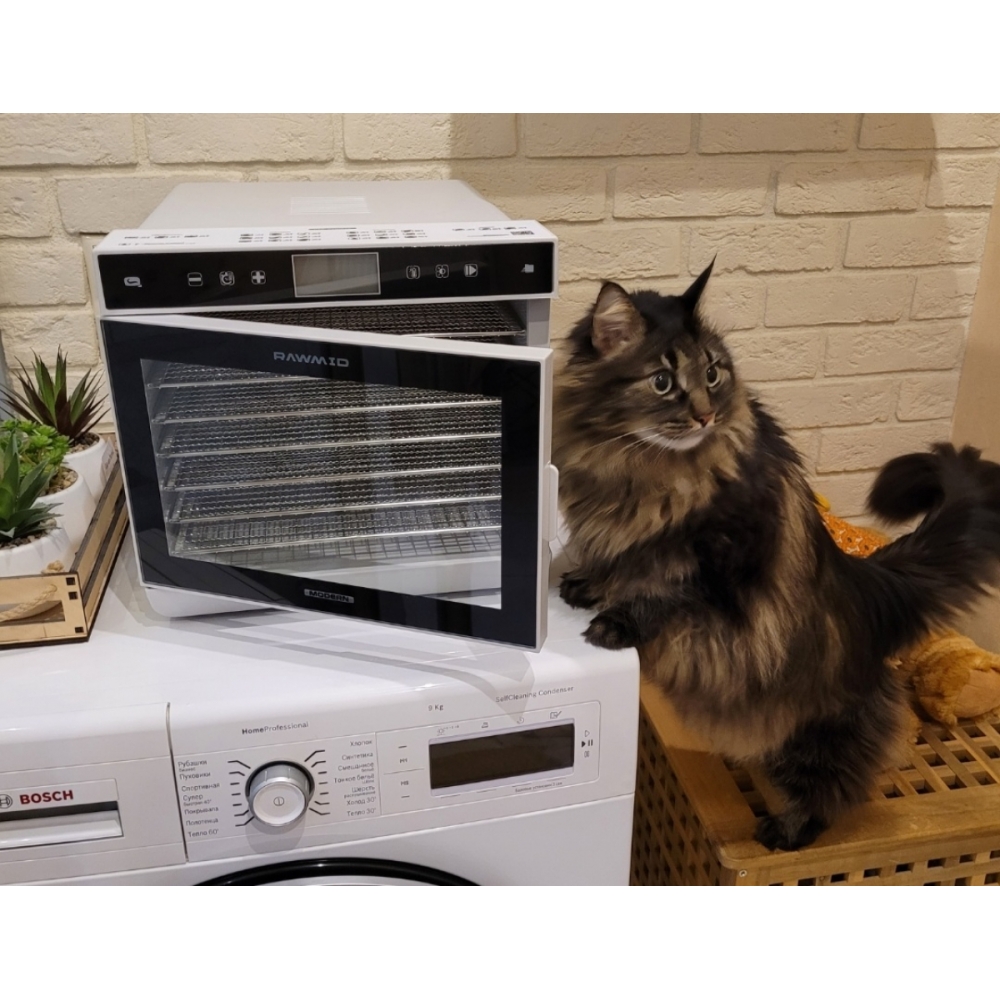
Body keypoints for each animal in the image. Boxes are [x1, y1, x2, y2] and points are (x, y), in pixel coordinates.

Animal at [553, 260, 1000, 851]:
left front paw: (617, 622)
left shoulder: (715, 554)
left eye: (712, 373)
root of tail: (866, 583)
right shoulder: (613, 534)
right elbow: (612, 566)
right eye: (663, 381)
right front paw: (587, 586)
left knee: (840, 775)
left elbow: (664, 591)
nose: (705, 417)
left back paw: (791, 828)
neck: (632, 464)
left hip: (820, 717)